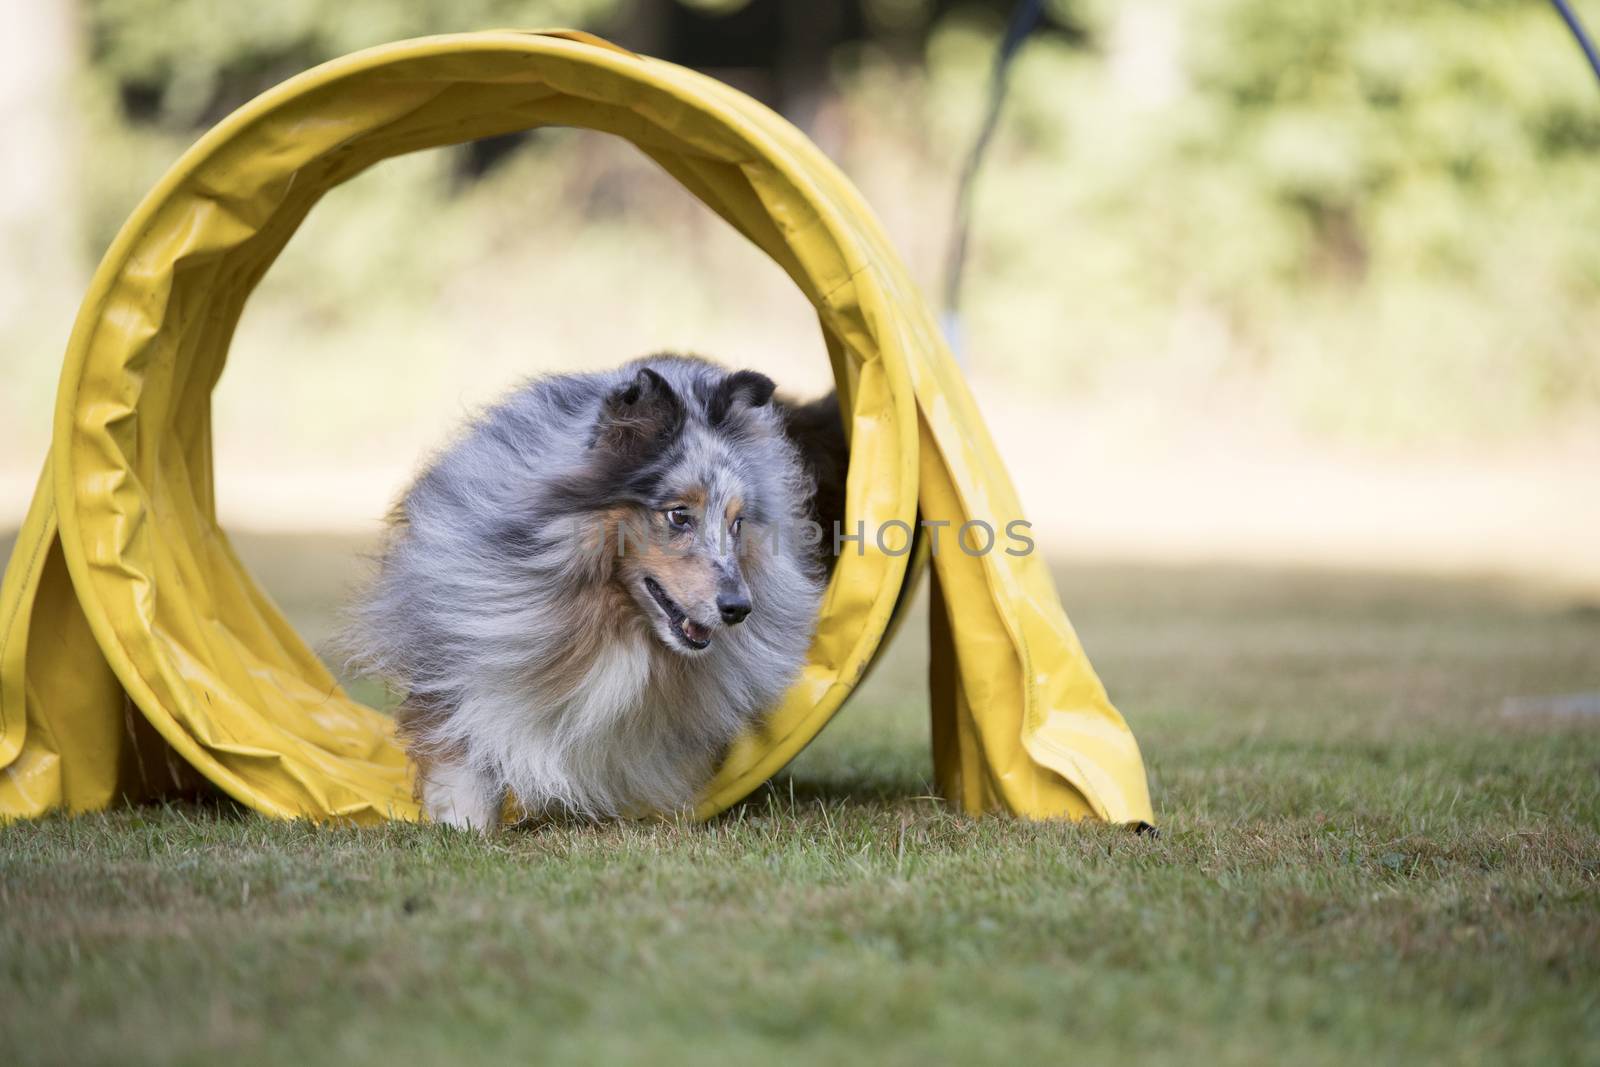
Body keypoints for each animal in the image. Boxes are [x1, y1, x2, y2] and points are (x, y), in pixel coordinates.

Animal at [342, 355, 851, 831]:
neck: (608, 617)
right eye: (678, 515)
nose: (739, 609)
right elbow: (464, 756)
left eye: (738, 522)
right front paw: (465, 828)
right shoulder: (460, 650)